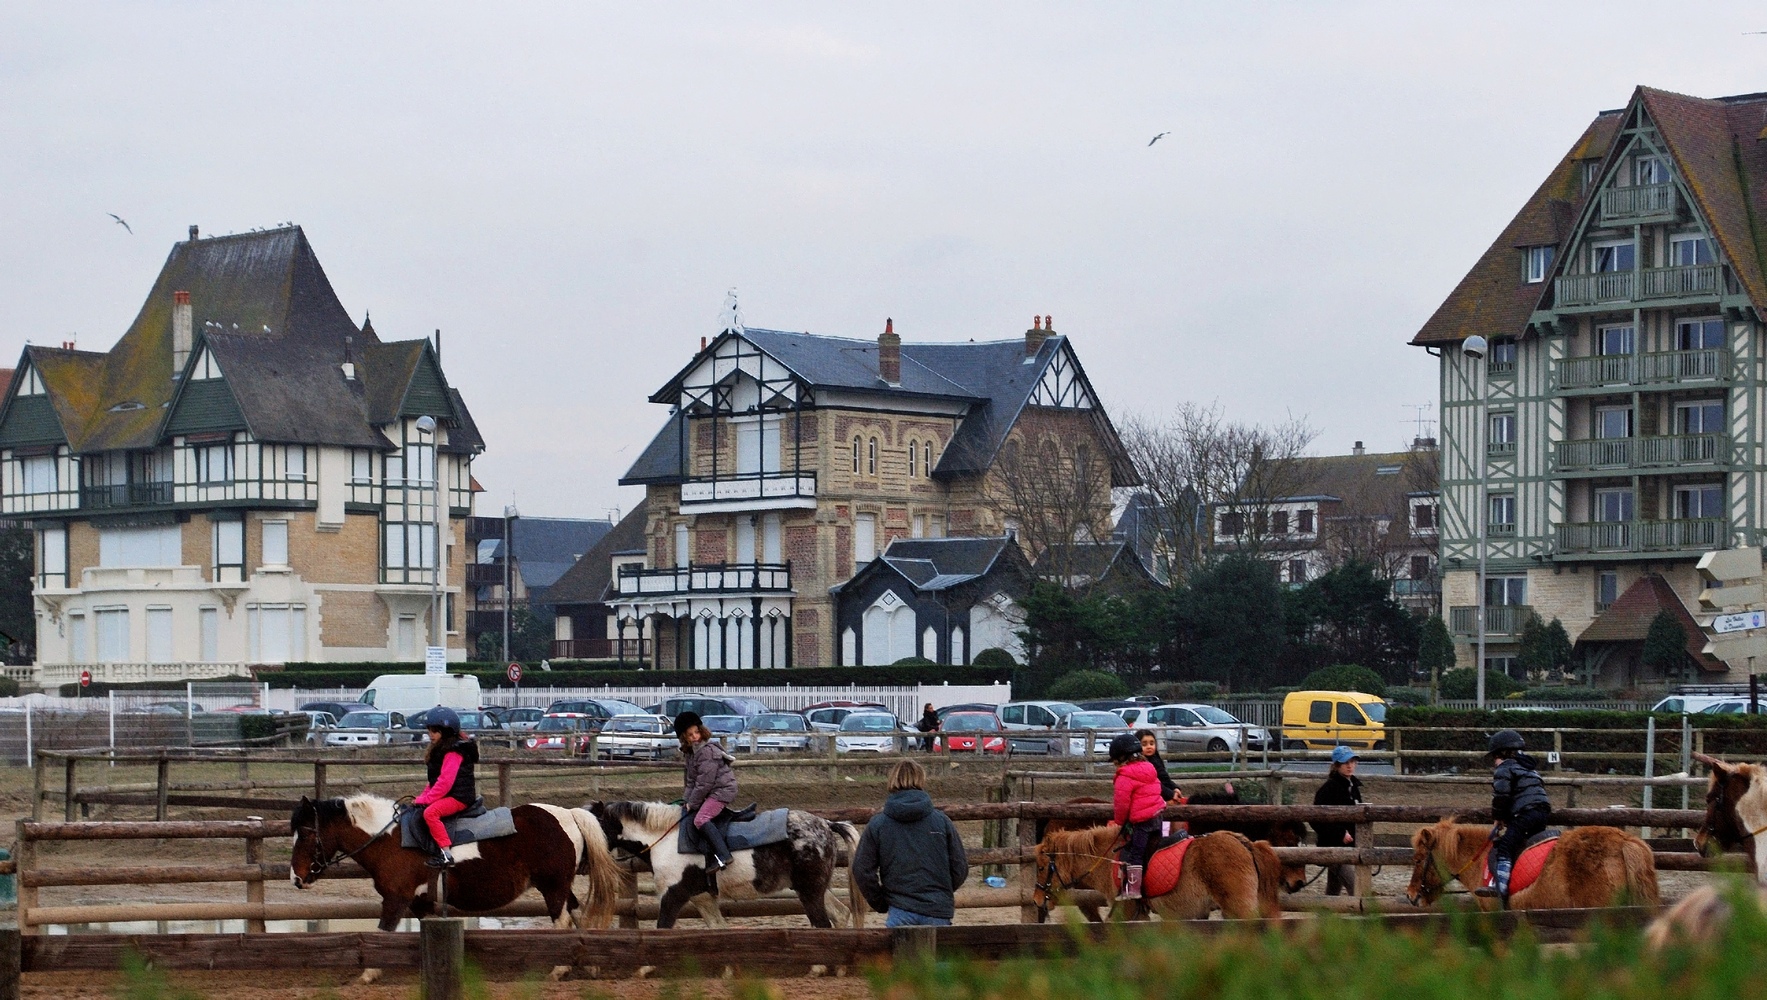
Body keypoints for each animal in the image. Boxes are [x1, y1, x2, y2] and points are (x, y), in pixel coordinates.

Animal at [1031, 830, 1279, 925]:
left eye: (1041, 867)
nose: (1036, 899)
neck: (1109, 858)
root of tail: (1243, 842)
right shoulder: (1138, 914)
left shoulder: (1127, 912)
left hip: (1239, 908)